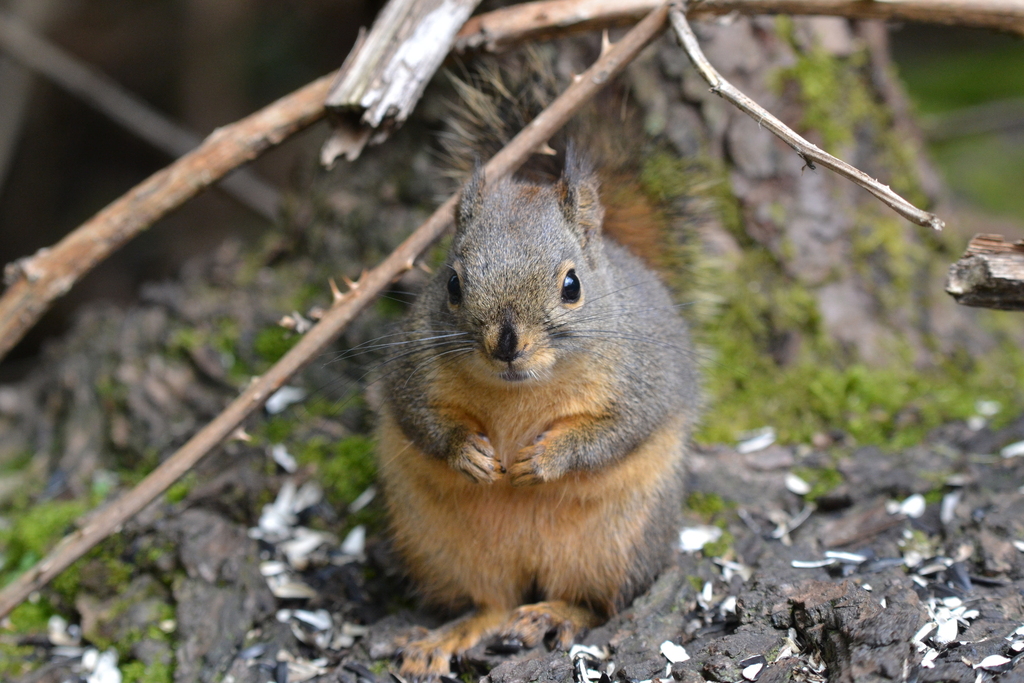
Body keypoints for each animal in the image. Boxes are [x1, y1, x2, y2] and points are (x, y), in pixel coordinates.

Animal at [374, 51, 701, 680]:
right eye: (452, 284)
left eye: (572, 285)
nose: (505, 343)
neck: (518, 393)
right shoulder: (409, 367)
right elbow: (417, 418)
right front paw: (469, 453)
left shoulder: (644, 377)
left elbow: (621, 431)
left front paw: (546, 459)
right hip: (443, 547)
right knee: (490, 602)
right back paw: (450, 636)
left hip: (618, 543)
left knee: (596, 603)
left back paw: (553, 614)